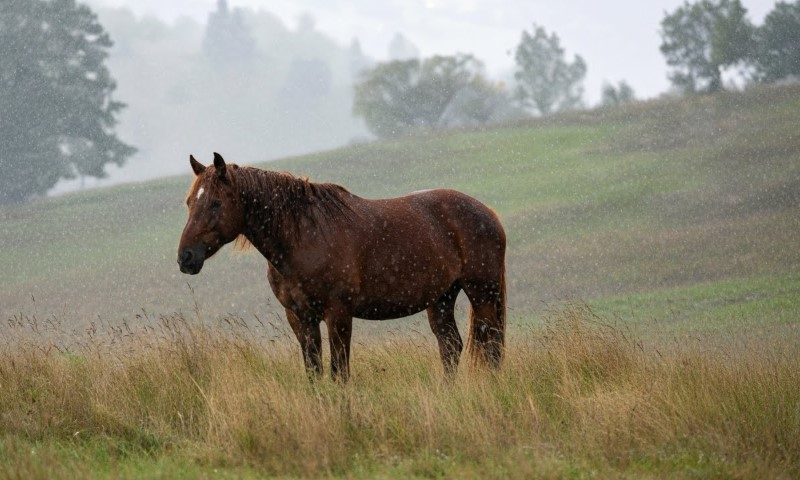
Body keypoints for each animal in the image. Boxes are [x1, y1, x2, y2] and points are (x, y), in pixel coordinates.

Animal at [177, 152, 506, 382]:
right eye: (189, 202)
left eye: (216, 203)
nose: (185, 258)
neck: (302, 235)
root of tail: (489, 213)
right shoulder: (301, 319)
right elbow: (314, 372)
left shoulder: (338, 315)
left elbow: (339, 373)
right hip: (441, 298)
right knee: (450, 347)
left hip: (482, 295)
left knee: (491, 348)